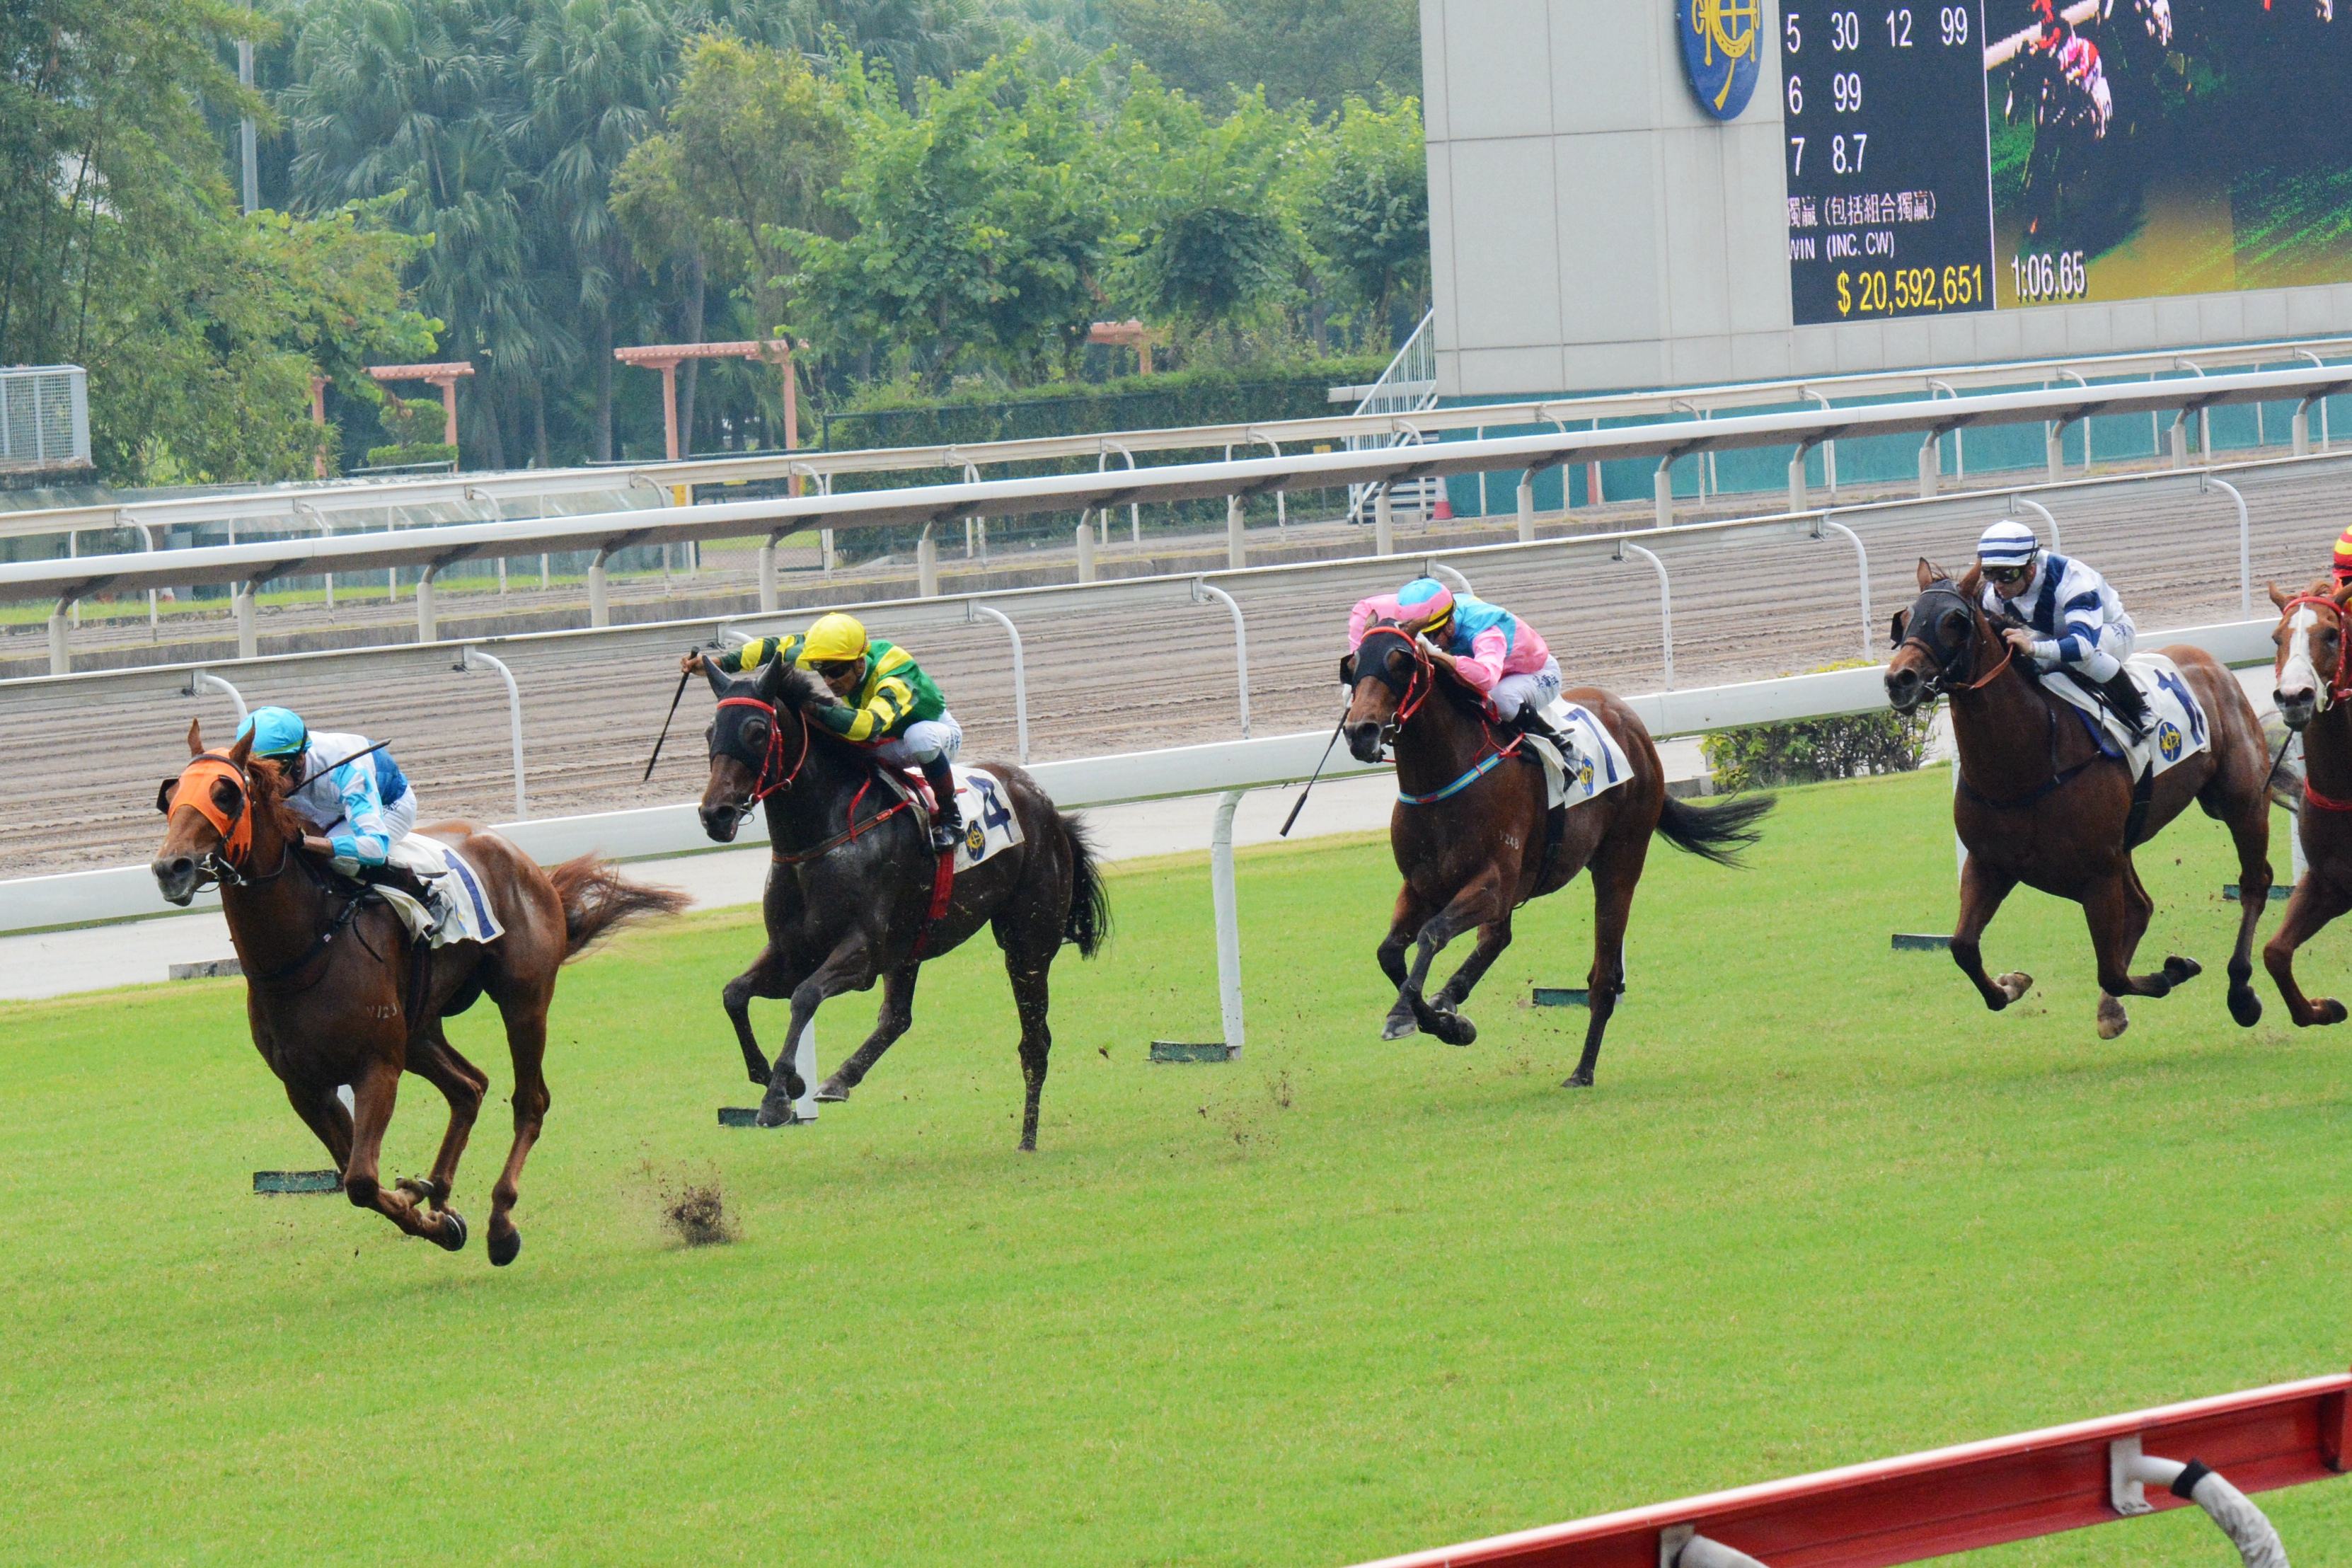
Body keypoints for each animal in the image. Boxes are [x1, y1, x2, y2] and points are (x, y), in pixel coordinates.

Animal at [153, 724, 686, 1259]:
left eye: (226, 793)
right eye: (170, 798)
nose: (171, 867)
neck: (303, 953)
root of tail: (521, 859)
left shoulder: (376, 1067)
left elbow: (361, 1180)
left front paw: (434, 1213)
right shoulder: (304, 1087)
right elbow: (354, 1172)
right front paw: (434, 1214)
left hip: (523, 1002)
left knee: (529, 1101)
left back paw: (500, 1222)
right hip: (420, 1029)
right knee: (470, 1087)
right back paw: (435, 1189)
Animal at [691, 658, 1105, 1147]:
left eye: (756, 730)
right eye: (709, 730)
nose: (715, 814)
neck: (821, 840)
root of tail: (1047, 806)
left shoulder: (863, 953)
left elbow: (805, 995)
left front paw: (778, 1096)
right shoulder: (792, 951)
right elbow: (734, 993)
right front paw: (777, 1078)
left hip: (1028, 941)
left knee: (1034, 1041)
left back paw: (1027, 1139)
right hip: (910, 947)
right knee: (896, 1018)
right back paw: (839, 1080)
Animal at [1336, 621, 1768, 1085]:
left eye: (1401, 663)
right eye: (1353, 666)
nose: (1360, 731)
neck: (1444, 781)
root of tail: (1631, 721)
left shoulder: (1492, 884)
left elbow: (1432, 934)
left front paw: (1430, 1019)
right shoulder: (1422, 886)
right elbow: (1389, 951)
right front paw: (1424, 1016)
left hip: (1621, 859)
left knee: (1604, 977)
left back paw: (1582, 1071)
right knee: (1498, 937)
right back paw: (1452, 997)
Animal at [1872, 564, 2276, 1044]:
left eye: (1955, 621)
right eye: (1904, 618)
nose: (1900, 680)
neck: (2023, 765)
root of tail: (2210, 661)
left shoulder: (2096, 872)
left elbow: (2112, 971)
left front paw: (2172, 971)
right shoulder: (1991, 863)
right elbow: (1963, 947)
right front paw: (2011, 984)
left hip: (2241, 802)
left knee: (2254, 883)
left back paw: (2242, 992)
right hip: (2126, 843)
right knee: (2142, 907)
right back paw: (2113, 1009)